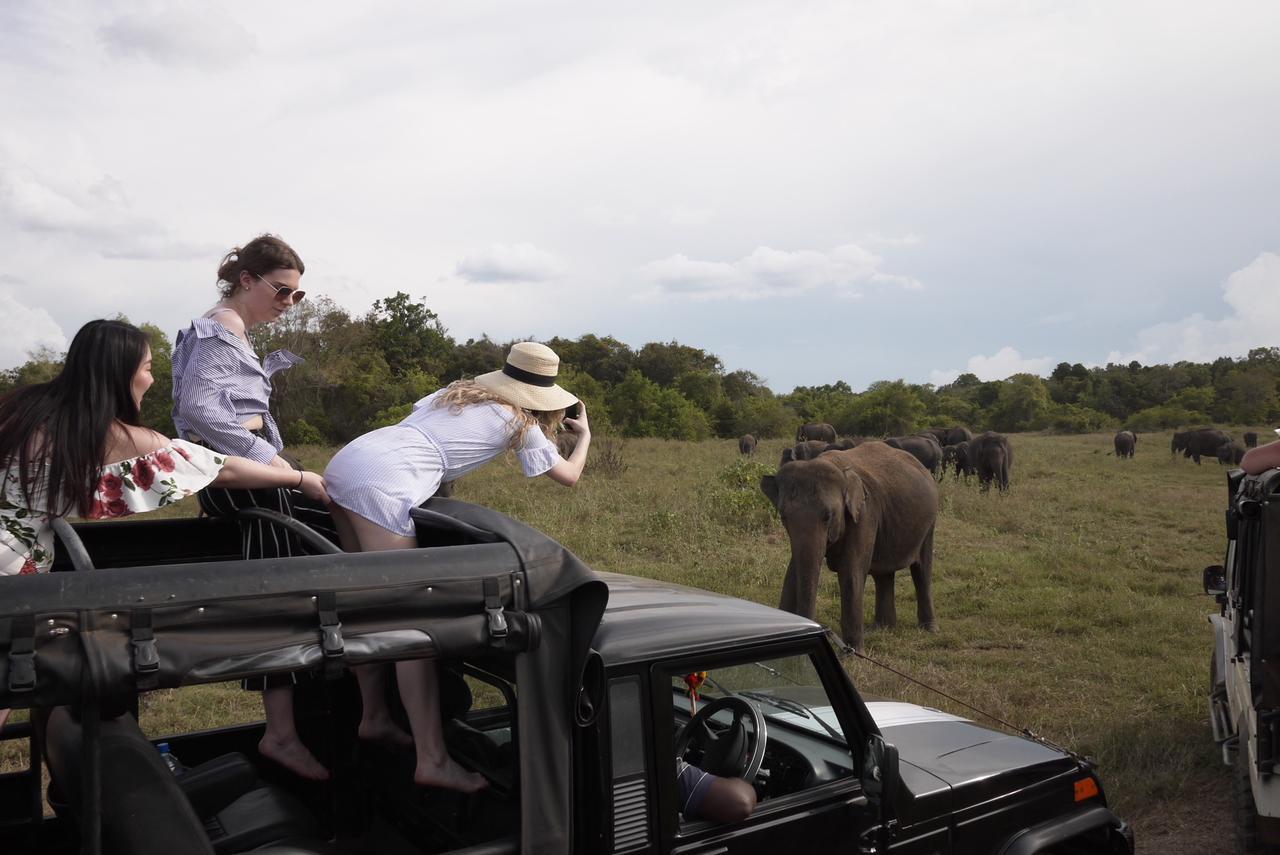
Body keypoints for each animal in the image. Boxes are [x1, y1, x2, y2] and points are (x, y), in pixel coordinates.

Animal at [757, 445, 942, 650]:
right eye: (783, 517)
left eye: (828, 516)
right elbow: (792, 572)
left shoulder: (865, 514)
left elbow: (850, 572)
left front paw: (854, 652)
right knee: (884, 573)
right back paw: (883, 627)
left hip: (929, 522)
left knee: (922, 570)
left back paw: (929, 629)